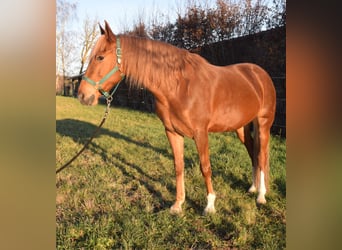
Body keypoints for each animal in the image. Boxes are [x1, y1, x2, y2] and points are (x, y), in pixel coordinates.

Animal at [77, 21, 276, 215]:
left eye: (100, 57)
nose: (82, 95)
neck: (179, 86)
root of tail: (260, 75)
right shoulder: (172, 132)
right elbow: (178, 166)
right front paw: (178, 204)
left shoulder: (200, 133)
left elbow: (205, 167)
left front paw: (210, 205)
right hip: (241, 127)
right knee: (253, 153)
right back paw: (253, 188)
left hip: (263, 124)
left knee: (262, 155)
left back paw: (261, 195)